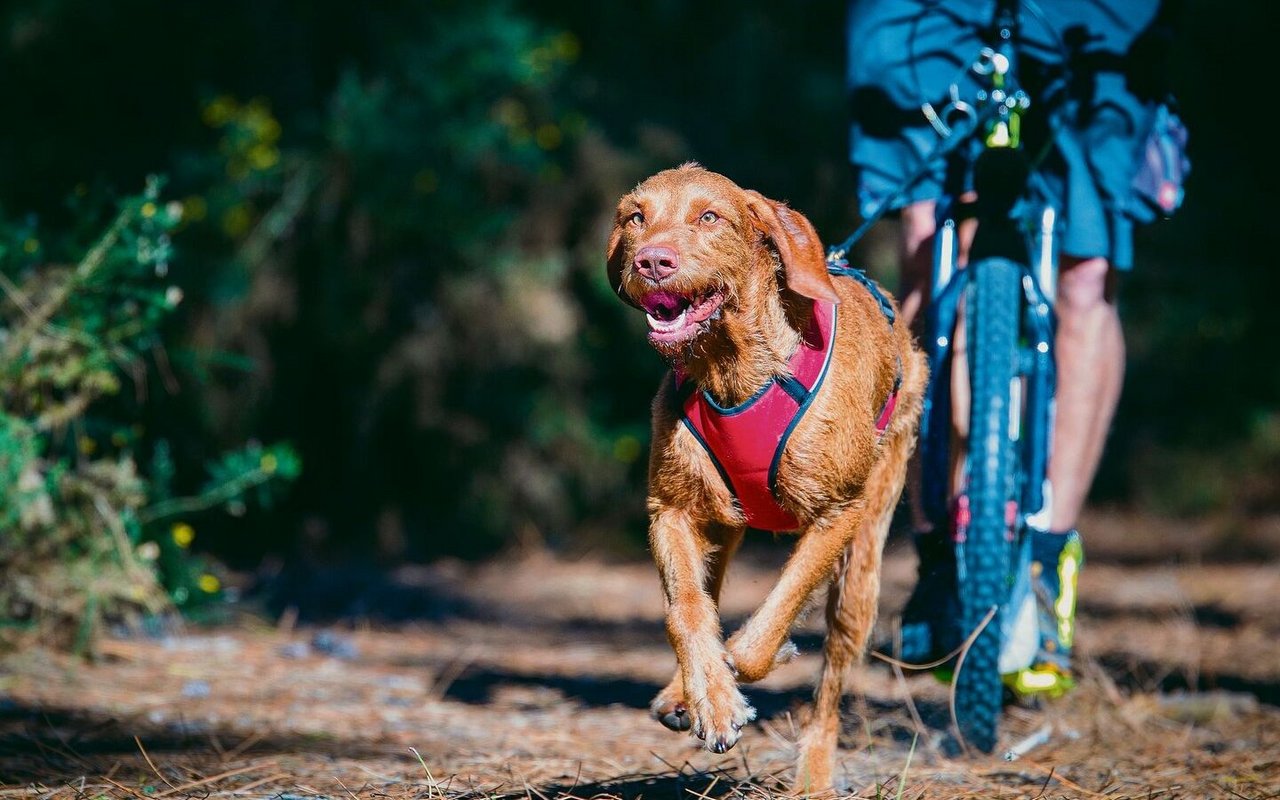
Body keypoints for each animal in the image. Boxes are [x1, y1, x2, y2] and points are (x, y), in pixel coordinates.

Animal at [604, 163, 926, 793]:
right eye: (636, 217)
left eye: (710, 216)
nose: (652, 261)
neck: (734, 367)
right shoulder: (671, 509)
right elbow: (686, 609)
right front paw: (711, 698)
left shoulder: (838, 514)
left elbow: (773, 617)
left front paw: (752, 663)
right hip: (723, 525)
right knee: (707, 591)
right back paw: (686, 691)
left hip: (862, 568)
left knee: (831, 683)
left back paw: (813, 776)